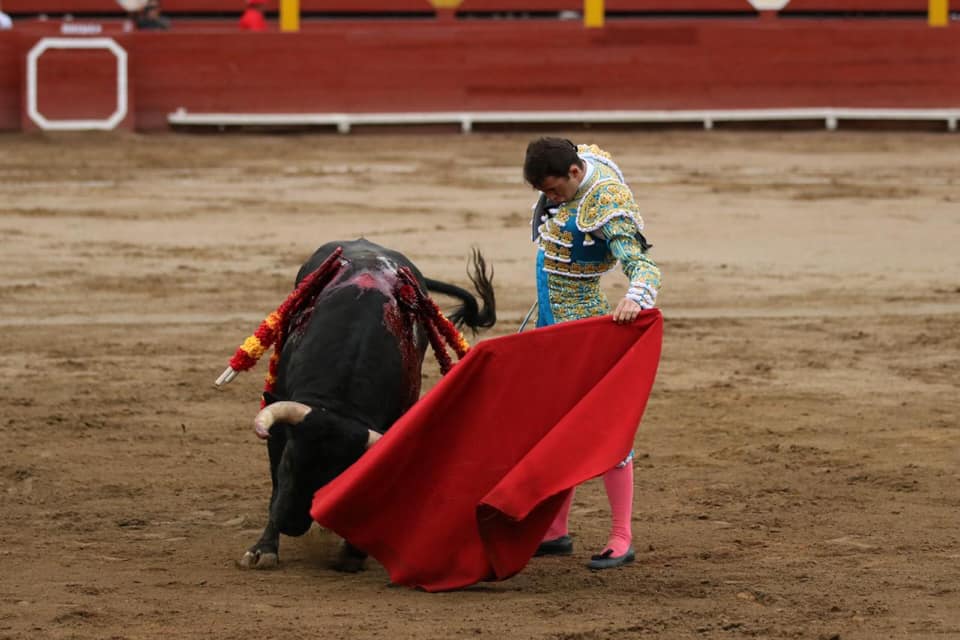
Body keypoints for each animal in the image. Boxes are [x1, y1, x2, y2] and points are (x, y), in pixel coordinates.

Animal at [217, 239, 496, 571]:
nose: (291, 524)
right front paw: (263, 550)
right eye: (289, 461)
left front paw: (353, 550)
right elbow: (275, 483)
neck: (338, 402)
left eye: (337, 476)